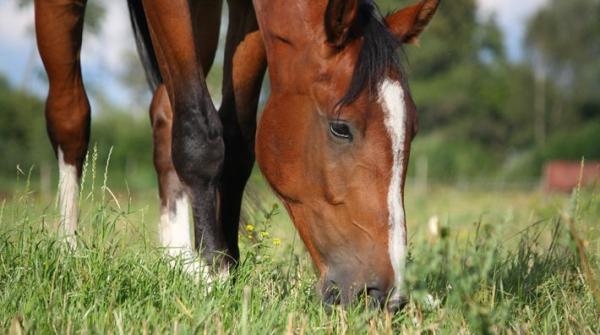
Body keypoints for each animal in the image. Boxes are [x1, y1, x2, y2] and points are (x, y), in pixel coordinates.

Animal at [36, 0, 440, 312]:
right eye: (341, 127)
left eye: (413, 129)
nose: (385, 296)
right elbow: (200, 137)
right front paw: (212, 276)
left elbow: (237, 141)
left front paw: (225, 267)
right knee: (70, 115)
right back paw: (69, 251)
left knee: (165, 113)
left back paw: (177, 259)